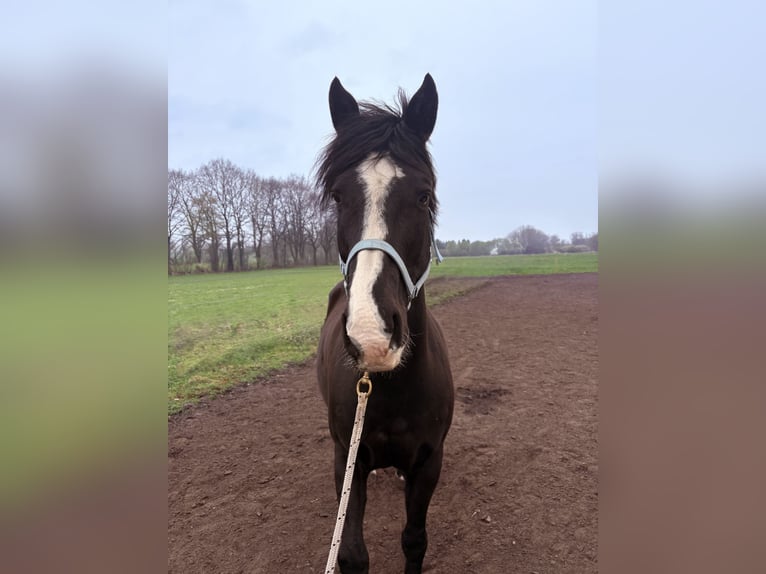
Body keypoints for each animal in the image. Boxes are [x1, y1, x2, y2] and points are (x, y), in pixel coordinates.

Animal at [316, 74, 454, 574]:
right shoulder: (348, 461)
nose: (371, 335)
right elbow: (352, 553)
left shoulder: (429, 463)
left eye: (424, 195)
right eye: (339, 196)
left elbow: (414, 539)